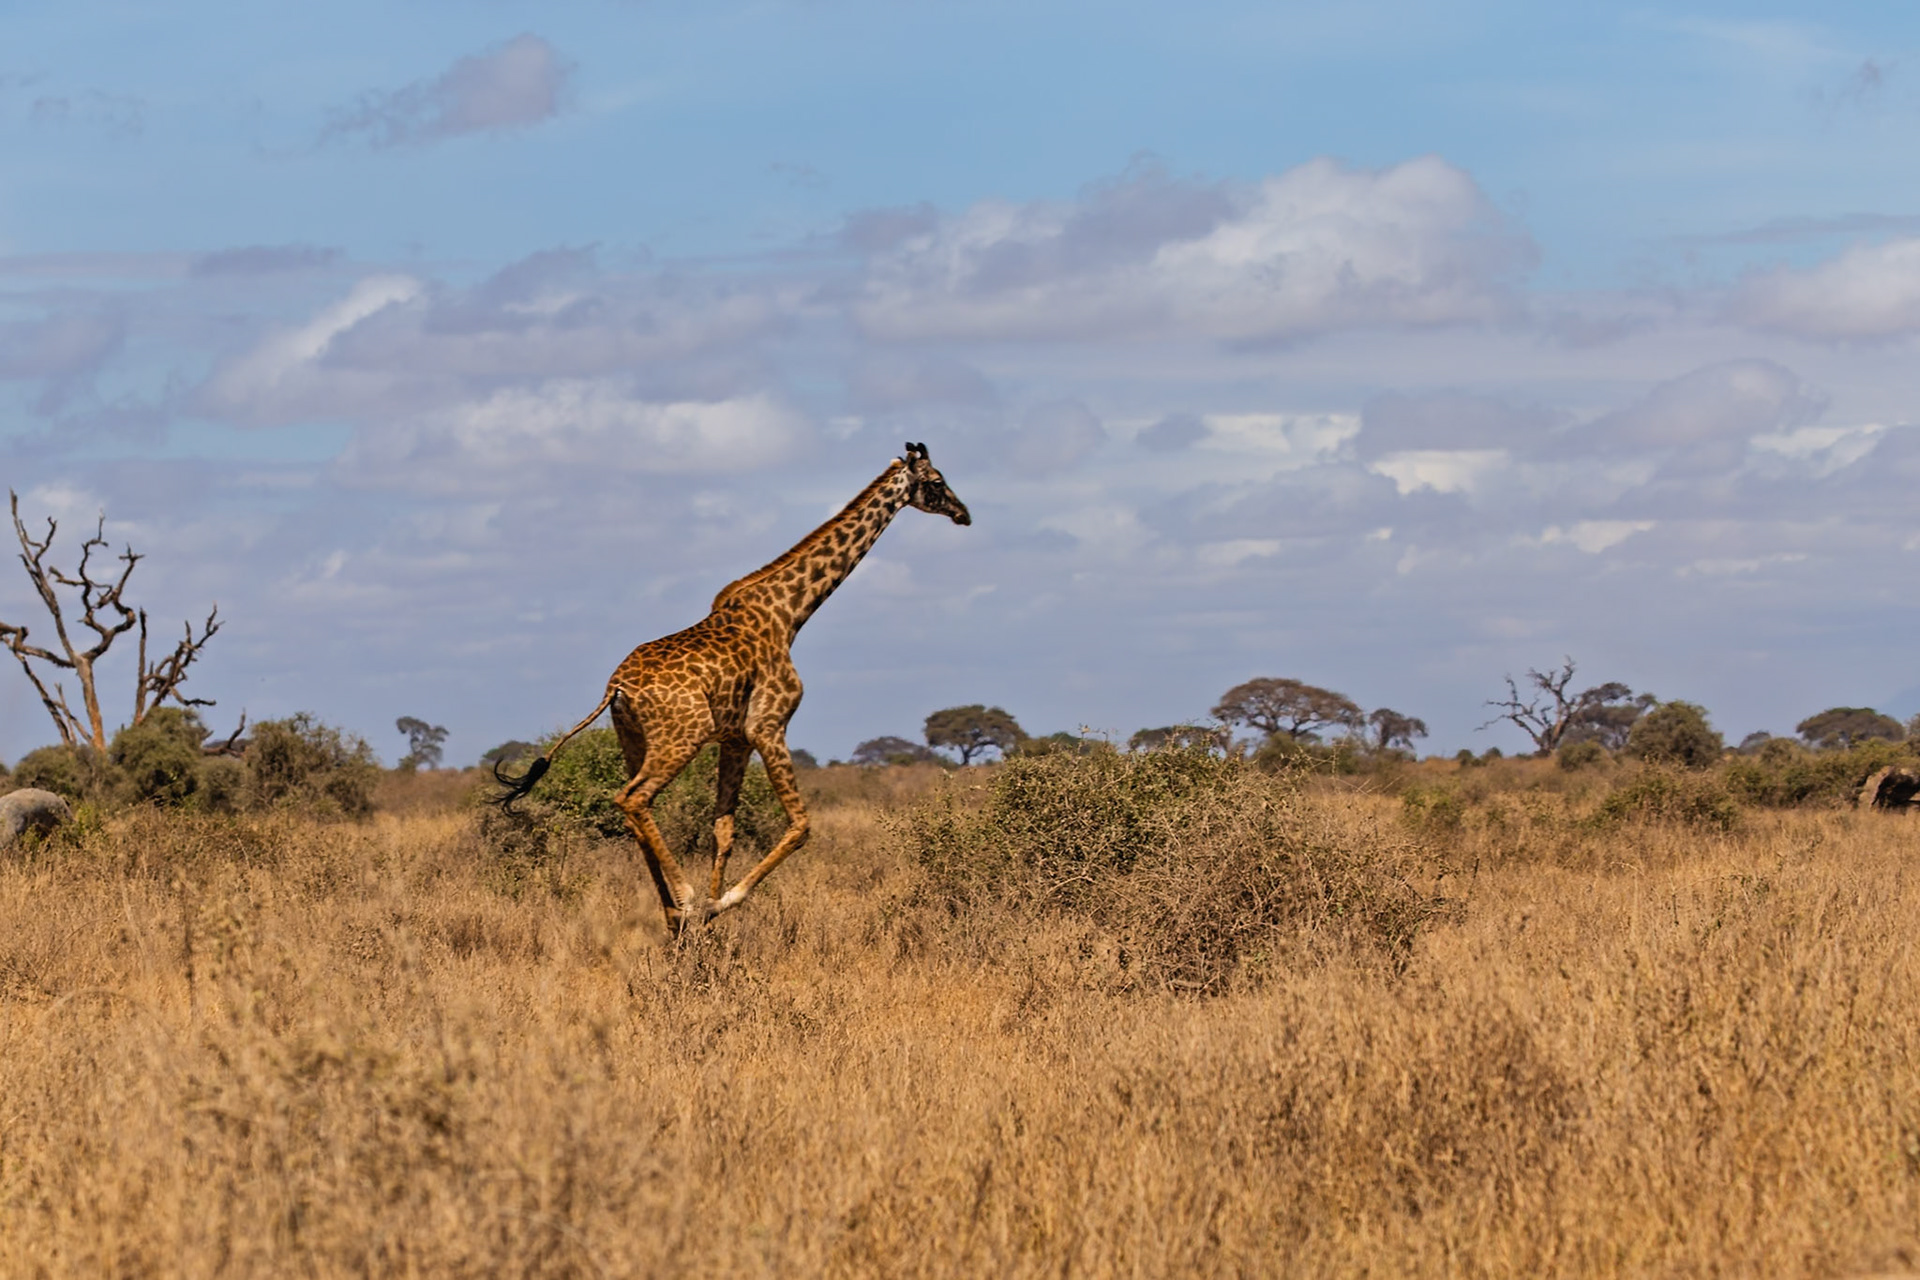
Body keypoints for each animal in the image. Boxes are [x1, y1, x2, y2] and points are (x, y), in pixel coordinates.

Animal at [495, 443, 972, 934]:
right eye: (937, 481)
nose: (964, 514)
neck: (789, 614)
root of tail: (617, 688)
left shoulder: (736, 739)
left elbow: (722, 830)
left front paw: (708, 919)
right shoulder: (769, 725)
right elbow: (800, 826)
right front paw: (716, 903)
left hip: (633, 739)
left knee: (634, 811)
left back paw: (673, 914)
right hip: (681, 737)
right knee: (633, 798)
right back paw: (684, 900)